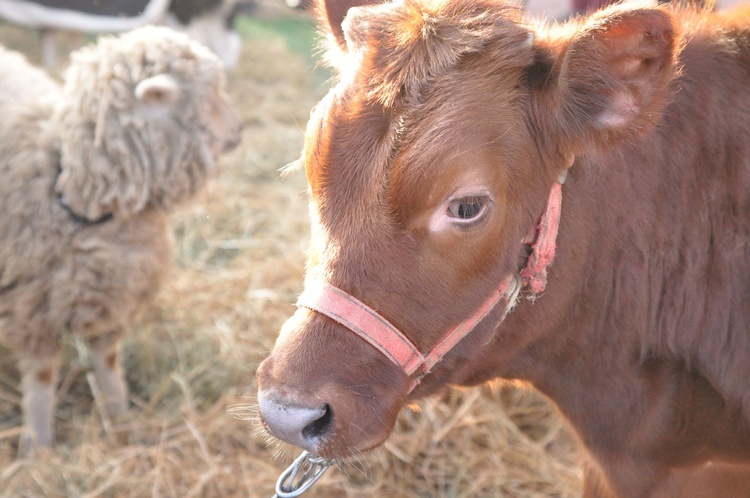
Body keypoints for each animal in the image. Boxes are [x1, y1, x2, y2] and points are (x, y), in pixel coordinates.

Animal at [0, 26, 242, 456]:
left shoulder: (113, 294)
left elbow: (108, 362)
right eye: (210, 93)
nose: (240, 130)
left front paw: (120, 419)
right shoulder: (33, 307)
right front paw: (38, 444)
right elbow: (42, 378)